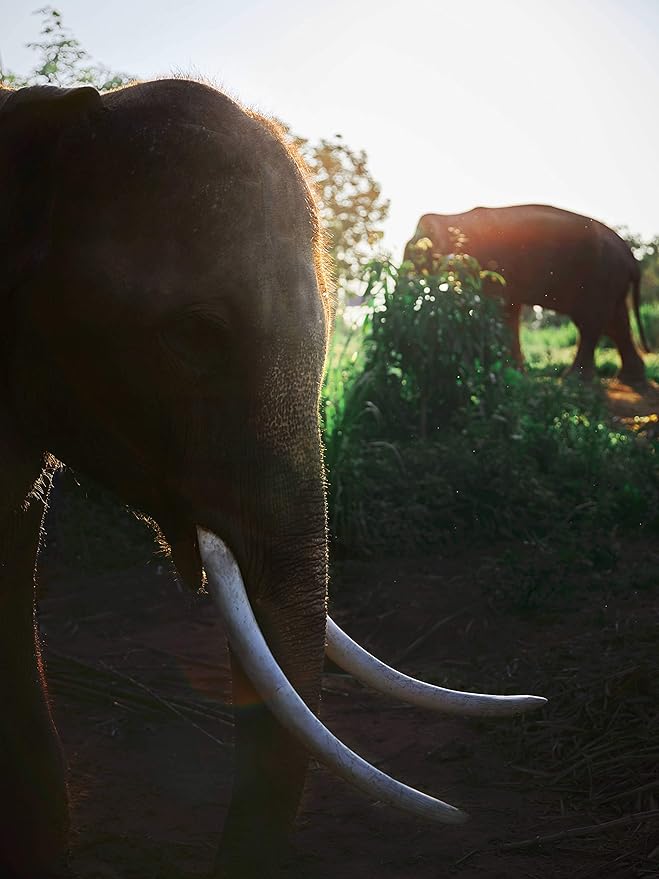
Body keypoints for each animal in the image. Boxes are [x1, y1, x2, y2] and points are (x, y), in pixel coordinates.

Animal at [404, 205, 650, 383]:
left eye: (416, 257)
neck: (452, 219)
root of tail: (631, 258)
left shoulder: (493, 265)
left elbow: (499, 309)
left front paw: (506, 373)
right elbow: (508, 310)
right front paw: (512, 373)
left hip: (600, 277)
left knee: (591, 322)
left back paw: (575, 380)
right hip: (610, 280)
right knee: (616, 323)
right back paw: (630, 379)